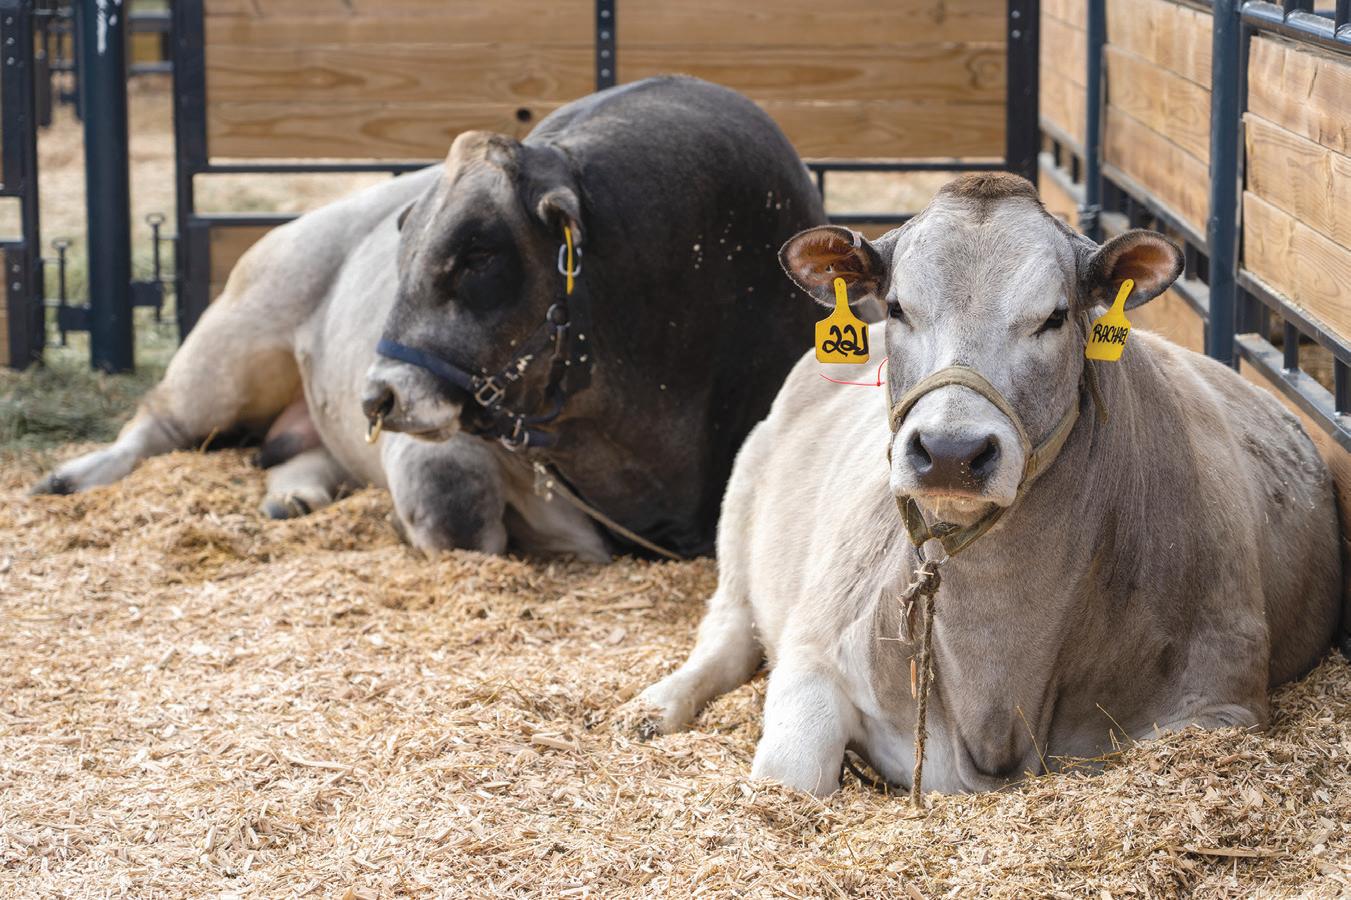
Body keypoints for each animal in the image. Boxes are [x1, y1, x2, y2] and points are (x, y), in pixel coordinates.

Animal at [34, 76, 824, 560]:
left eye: (476, 255)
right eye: (405, 244)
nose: (376, 395)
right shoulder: (440, 446)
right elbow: (460, 520)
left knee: (293, 450)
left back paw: (293, 495)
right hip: (230, 348)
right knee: (156, 423)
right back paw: (72, 475)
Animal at [633, 173, 1348, 795]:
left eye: (1055, 317)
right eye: (898, 306)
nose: (951, 452)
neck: (997, 682)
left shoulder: (1220, 700)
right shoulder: (816, 653)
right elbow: (789, 781)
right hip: (742, 497)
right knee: (727, 631)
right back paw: (654, 706)